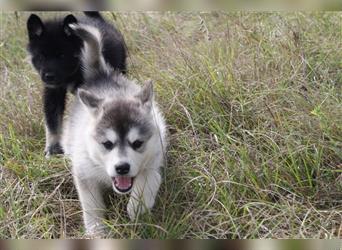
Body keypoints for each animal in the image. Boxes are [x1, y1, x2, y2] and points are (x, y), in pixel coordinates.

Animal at [27, 12, 127, 156]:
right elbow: (52, 121)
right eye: (41, 56)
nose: (48, 76)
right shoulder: (53, 92)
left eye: (62, 56)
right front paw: (53, 148)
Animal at [62, 24, 167, 235]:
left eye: (137, 143)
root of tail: (101, 75)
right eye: (107, 144)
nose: (122, 168)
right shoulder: (84, 173)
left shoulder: (153, 161)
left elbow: (148, 178)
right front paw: (96, 231)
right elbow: (92, 207)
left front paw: (137, 207)